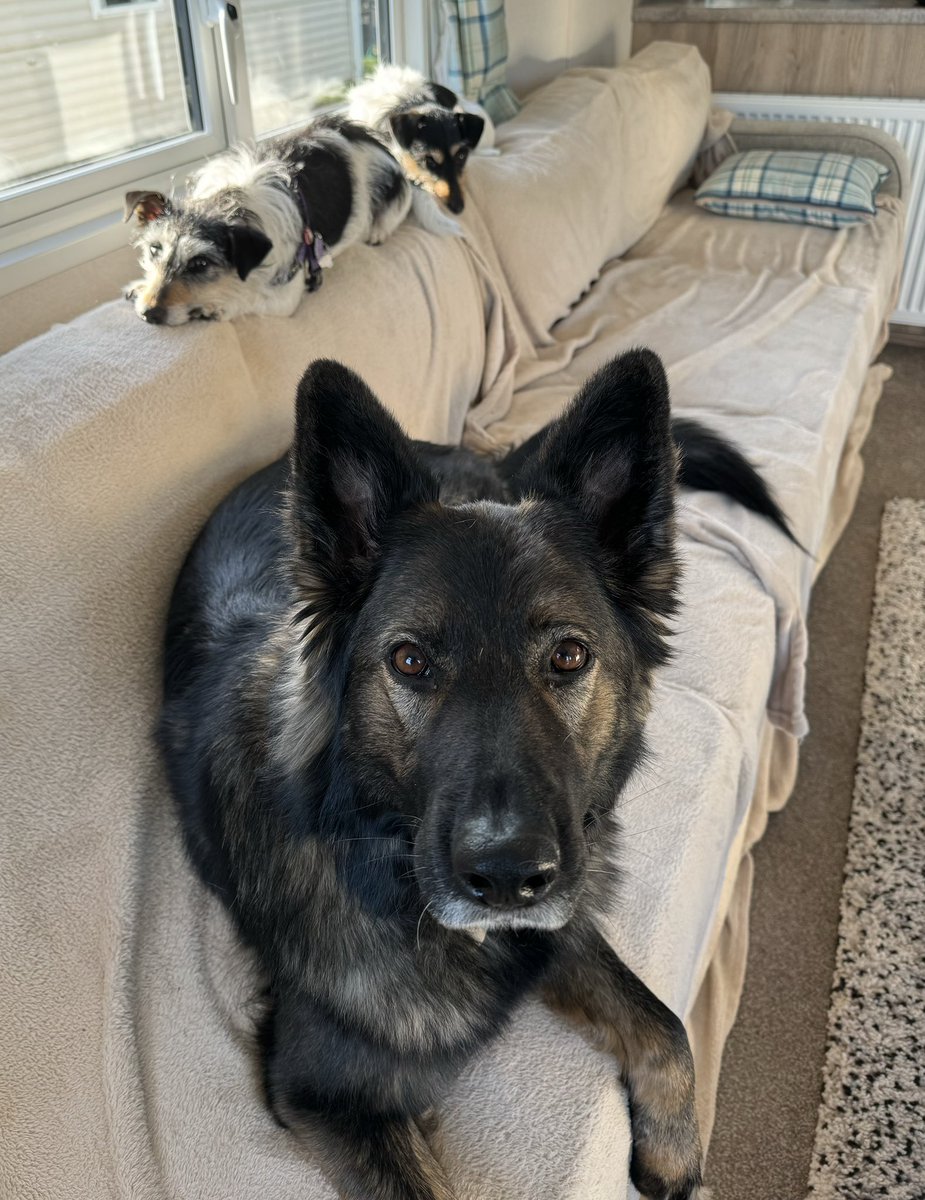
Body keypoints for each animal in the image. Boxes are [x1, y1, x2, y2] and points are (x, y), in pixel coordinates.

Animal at [160, 350, 796, 1200]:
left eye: (568, 655)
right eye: (408, 661)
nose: (503, 876)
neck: (377, 853)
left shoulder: (558, 923)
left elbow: (663, 1024)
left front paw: (673, 1156)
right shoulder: (328, 1095)